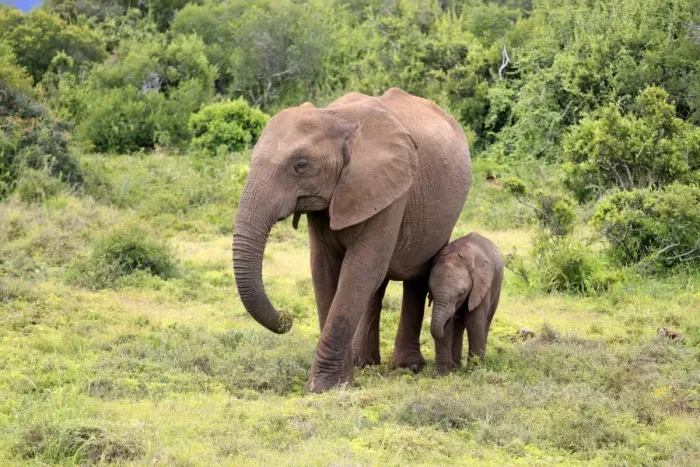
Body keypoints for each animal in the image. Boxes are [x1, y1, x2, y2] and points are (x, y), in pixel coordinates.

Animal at [232, 87, 471, 392]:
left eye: (301, 166)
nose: (287, 317)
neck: (334, 117)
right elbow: (323, 269)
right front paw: (342, 379)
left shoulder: (390, 187)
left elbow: (361, 268)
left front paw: (324, 387)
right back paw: (363, 363)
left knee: (417, 273)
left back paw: (407, 367)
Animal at [427, 233, 504, 375]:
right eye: (431, 292)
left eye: (461, 294)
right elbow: (449, 327)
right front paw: (442, 374)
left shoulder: (480, 288)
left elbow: (474, 323)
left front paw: (474, 371)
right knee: (458, 328)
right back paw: (456, 368)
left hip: (497, 288)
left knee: (486, 321)